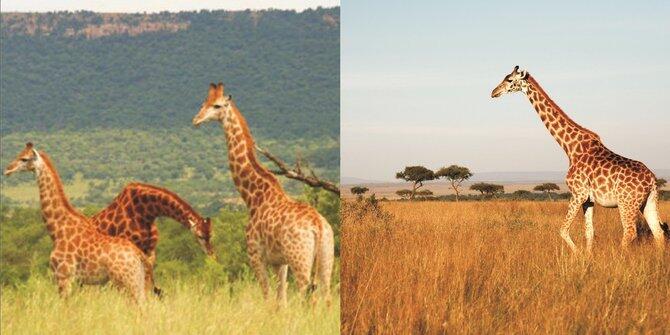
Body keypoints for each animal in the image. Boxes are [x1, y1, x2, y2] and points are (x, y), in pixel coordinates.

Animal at [4, 143, 154, 304]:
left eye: (24, 159)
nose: (7, 169)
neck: (57, 230)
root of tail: (140, 255)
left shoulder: (63, 276)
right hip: (137, 281)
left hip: (127, 282)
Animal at [192, 82, 334, 306]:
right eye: (202, 103)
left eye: (217, 105)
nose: (196, 120)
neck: (253, 196)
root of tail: (318, 226)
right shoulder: (280, 263)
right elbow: (281, 302)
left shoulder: (256, 256)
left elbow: (268, 299)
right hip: (326, 258)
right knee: (327, 298)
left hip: (300, 260)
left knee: (309, 298)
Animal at [490, 67, 668, 253]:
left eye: (509, 80)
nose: (494, 92)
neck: (570, 147)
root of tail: (652, 180)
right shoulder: (588, 200)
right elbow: (589, 232)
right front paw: (587, 257)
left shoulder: (578, 193)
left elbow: (563, 230)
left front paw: (577, 254)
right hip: (648, 201)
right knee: (658, 232)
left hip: (627, 203)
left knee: (630, 232)